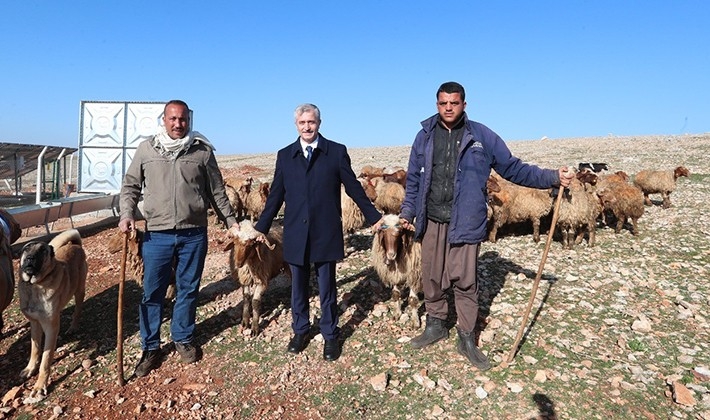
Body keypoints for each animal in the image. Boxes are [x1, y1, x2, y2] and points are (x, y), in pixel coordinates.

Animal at [18, 230, 88, 404]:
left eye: (43, 250)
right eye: (26, 249)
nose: (30, 259)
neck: (35, 285)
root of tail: (75, 245)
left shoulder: (50, 328)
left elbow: (45, 359)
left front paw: (39, 387)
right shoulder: (35, 323)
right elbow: (35, 349)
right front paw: (30, 368)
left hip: (79, 290)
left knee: (77, 310)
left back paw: (73, 327)